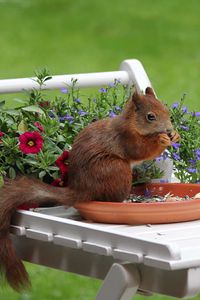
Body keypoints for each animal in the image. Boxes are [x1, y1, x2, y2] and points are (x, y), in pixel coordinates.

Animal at [0, 86, 180, 290]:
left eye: (166, 110)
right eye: (150, 116)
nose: (169, 130)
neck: (132, 124)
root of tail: (81, 190)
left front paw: (175, 135)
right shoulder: (126, 138)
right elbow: (140, 150)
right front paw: (161, 140)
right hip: (116, 169)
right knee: (111, 198)